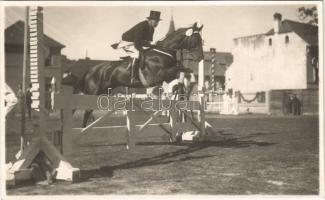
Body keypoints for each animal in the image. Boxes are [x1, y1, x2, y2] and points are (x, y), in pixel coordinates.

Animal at [62, 22, 202, 128]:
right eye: (195, 40)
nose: (201, 57)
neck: (162, 53)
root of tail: (91, 70)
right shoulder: (160, 75)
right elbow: (178, 70)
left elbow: (186, 70)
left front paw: (190, 83)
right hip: (92, 92)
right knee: (83, 109)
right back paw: (81, 130)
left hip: (102, 91)